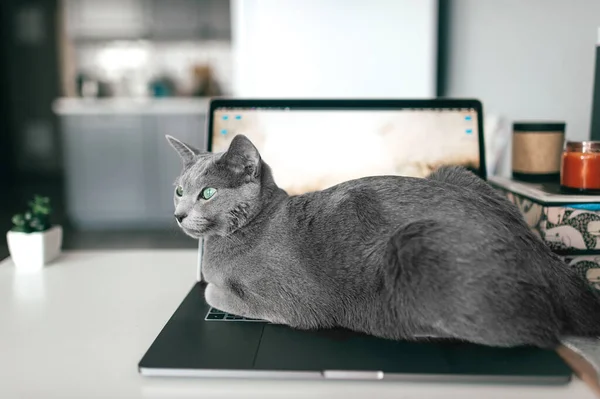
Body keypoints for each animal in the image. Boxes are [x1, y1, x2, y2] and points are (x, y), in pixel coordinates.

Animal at [165, 134, 600, 346]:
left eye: (207, 193)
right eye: (179, 190)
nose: (178, 214)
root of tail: (543, 254)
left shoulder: (288, 303)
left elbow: (211, 292)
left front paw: (212, 289)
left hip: (413, 244)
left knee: (538, 332)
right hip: (455, 174)